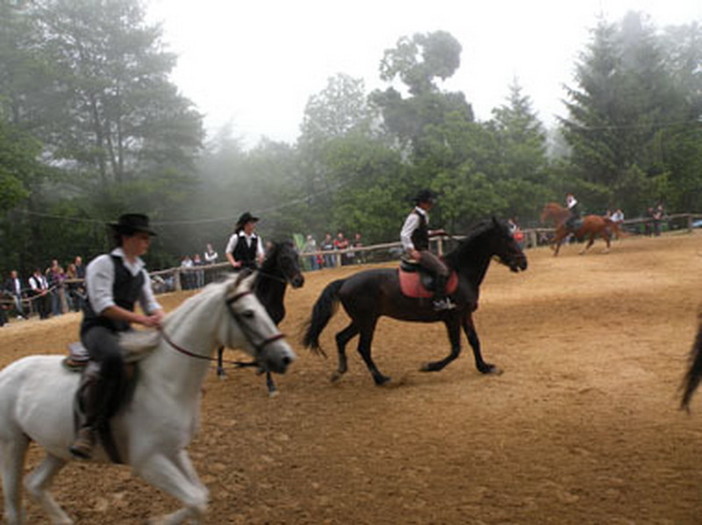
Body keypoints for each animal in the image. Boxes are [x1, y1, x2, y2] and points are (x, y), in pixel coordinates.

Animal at [0, 272, 296, 520]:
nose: (285, 357)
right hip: (13, 446)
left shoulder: (174, 450)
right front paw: (158, 521)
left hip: (57, 449)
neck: (165, 382)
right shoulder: (148, 461)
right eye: (248, 313)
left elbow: (200, 498)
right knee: (15, 507)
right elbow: (195, 500)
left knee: (35, 485)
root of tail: (6, 373)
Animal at [217, 239, 306, 396]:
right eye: (284, 258)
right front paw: (271, 386)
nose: (299, 281)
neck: (265, 296)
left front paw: (262, 368)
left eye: (296, 256)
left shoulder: (273, 325)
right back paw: (221, 372)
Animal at [302, 217, 528, 384]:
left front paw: (485, 367)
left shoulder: (465, 314)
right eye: (508, 239)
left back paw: (340, 371)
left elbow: (474, 340)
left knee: (341, 338)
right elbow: (456, 349)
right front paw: (430, 366)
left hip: (361, 321)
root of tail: (345, 281)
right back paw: (381, 378)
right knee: (363, 348)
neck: (462, 271)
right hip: (367, 321)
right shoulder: (452, 317)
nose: (524, 263)